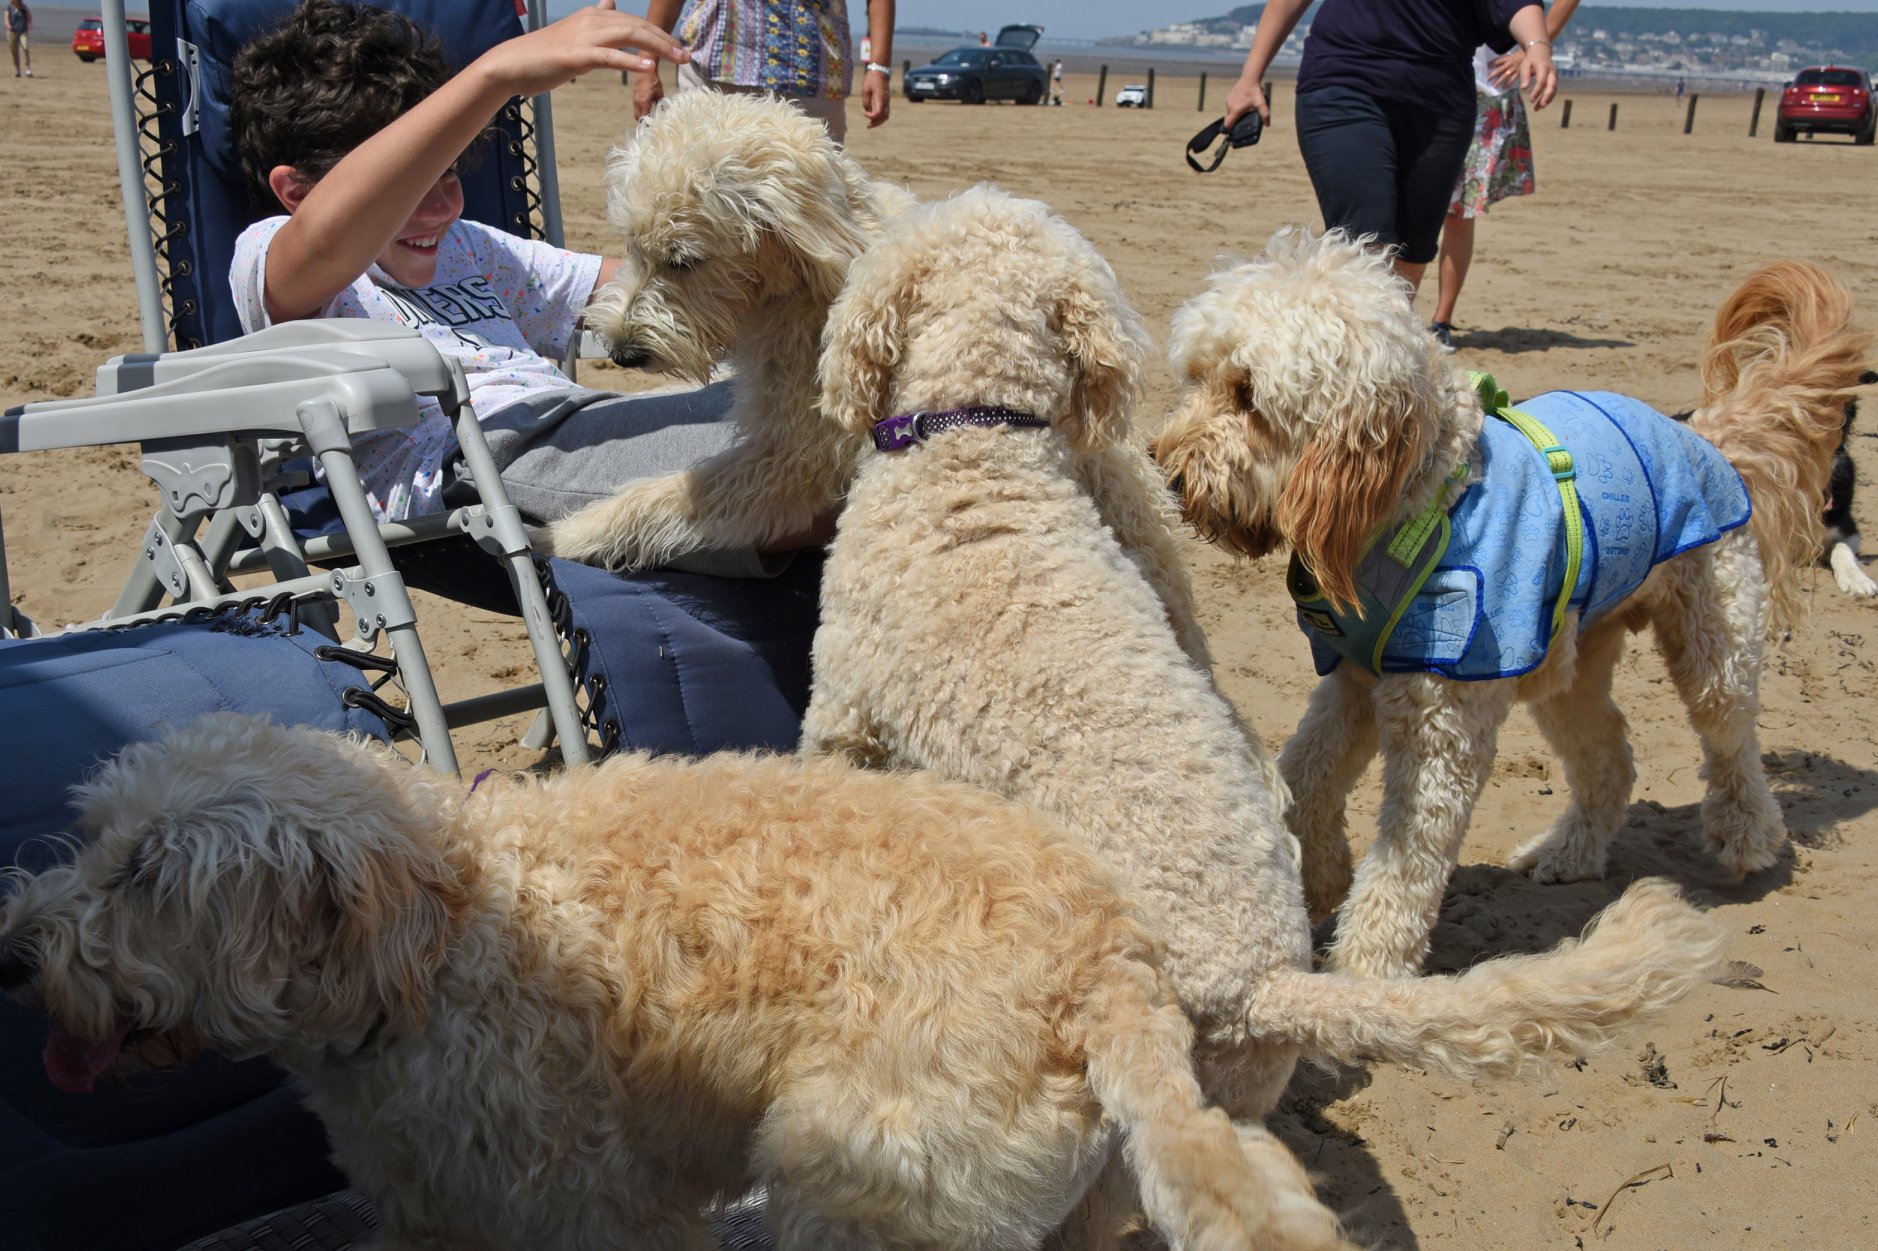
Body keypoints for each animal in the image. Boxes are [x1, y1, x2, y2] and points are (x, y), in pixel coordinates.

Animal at [0, 710, 1322, 1247]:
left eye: (151, 873)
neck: (438, 937)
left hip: (853, 1190)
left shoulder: (599, 1212)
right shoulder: (435, 1211)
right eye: (96, 836)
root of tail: (1111, 961)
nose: (12, 952)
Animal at [548, 90, 1209, 661]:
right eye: (632, 246)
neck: (804, 280)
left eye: (682, 260)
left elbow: (663, 496)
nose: (621, 352)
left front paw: (565, 535)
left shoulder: (792, 464)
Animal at [1149, 226, 1870, 976]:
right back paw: (1568, 852)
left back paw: (1748, 839)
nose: (1162, 466)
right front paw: (1314, 876)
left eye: (1248, 394)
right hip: (1567, 670)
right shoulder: (1354, 680)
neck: (1422, 506)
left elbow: (1403, 871)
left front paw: (1366, 975)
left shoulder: (1441, 725)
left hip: (1713, 644)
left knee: (1733, 746)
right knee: (1610, 756)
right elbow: (1306, 778)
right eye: (1198, 378)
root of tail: (1707, 433)